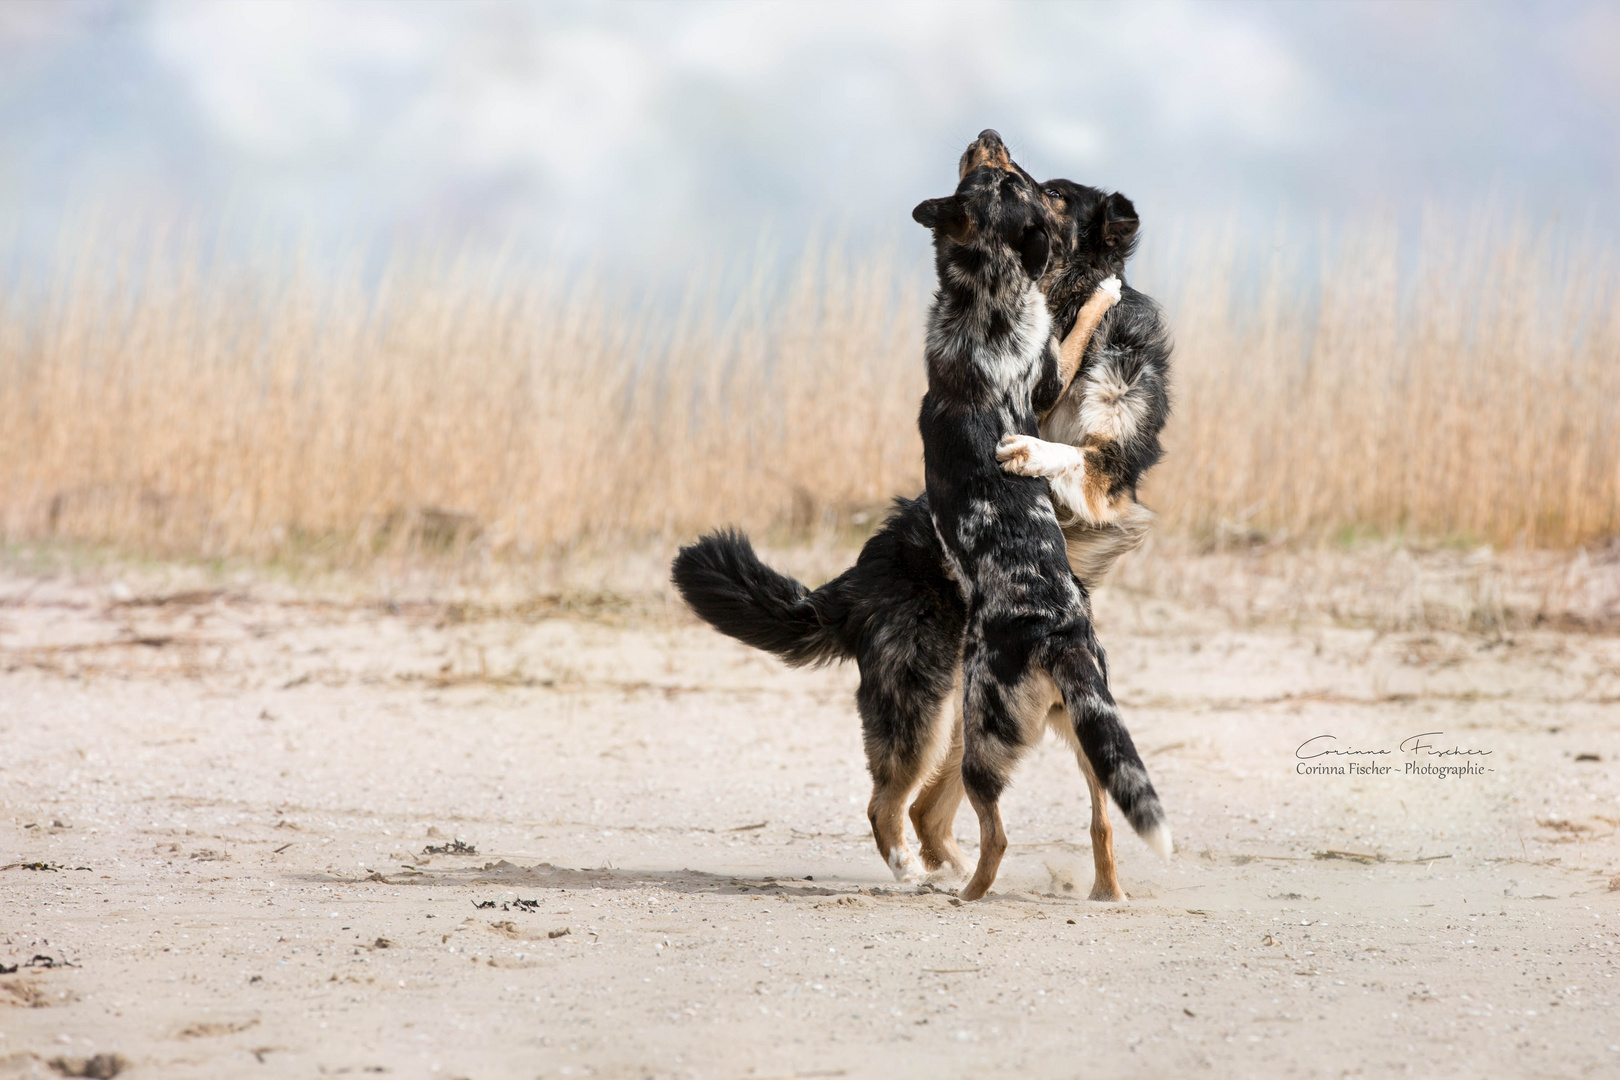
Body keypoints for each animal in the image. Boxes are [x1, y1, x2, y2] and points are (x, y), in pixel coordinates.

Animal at [664, 131, 1172, 900]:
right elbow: (1062, 377)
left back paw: (1044, 883)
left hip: (1024, 720)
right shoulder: (1053, 386)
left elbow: (1076, 432)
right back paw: (935, 873)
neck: (987, 299)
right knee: (906, 806)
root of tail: (849, 587)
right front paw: (1027, 439)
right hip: (932, 710)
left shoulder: (1111, 472)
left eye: (1047, 191)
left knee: (1036, 812)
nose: (987, 134)